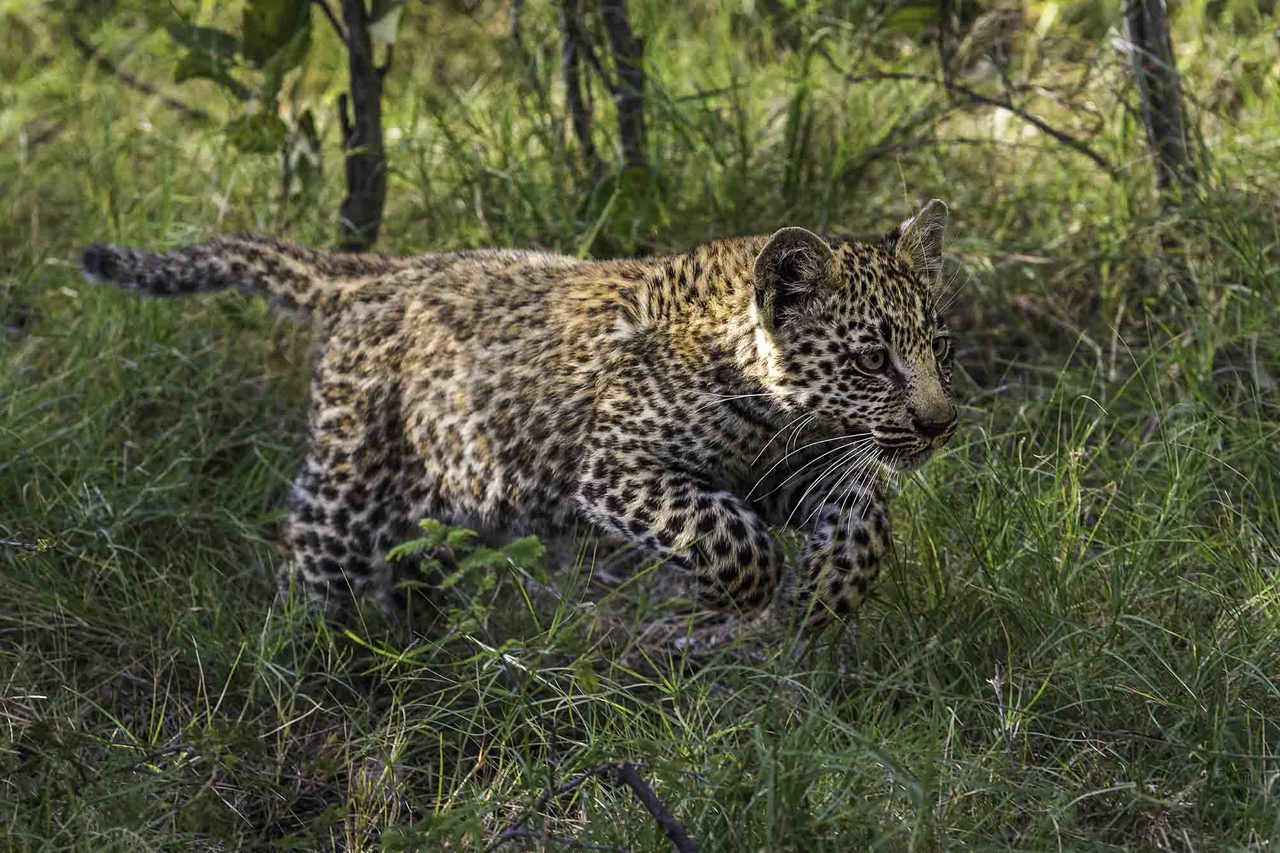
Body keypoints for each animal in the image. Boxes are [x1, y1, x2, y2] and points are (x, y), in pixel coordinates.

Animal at [81, 199, 957, 629]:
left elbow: (864, 519)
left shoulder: (797, 466)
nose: (940, 423)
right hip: (350, 475)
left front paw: (824, 600)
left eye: (938, 343)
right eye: (872, 358)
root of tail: (373, 274)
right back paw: (312, 661)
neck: (771, 407)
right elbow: (732, 539)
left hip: (441, 493)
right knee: (309, 554)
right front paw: (726, 608)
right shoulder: (618, 466)